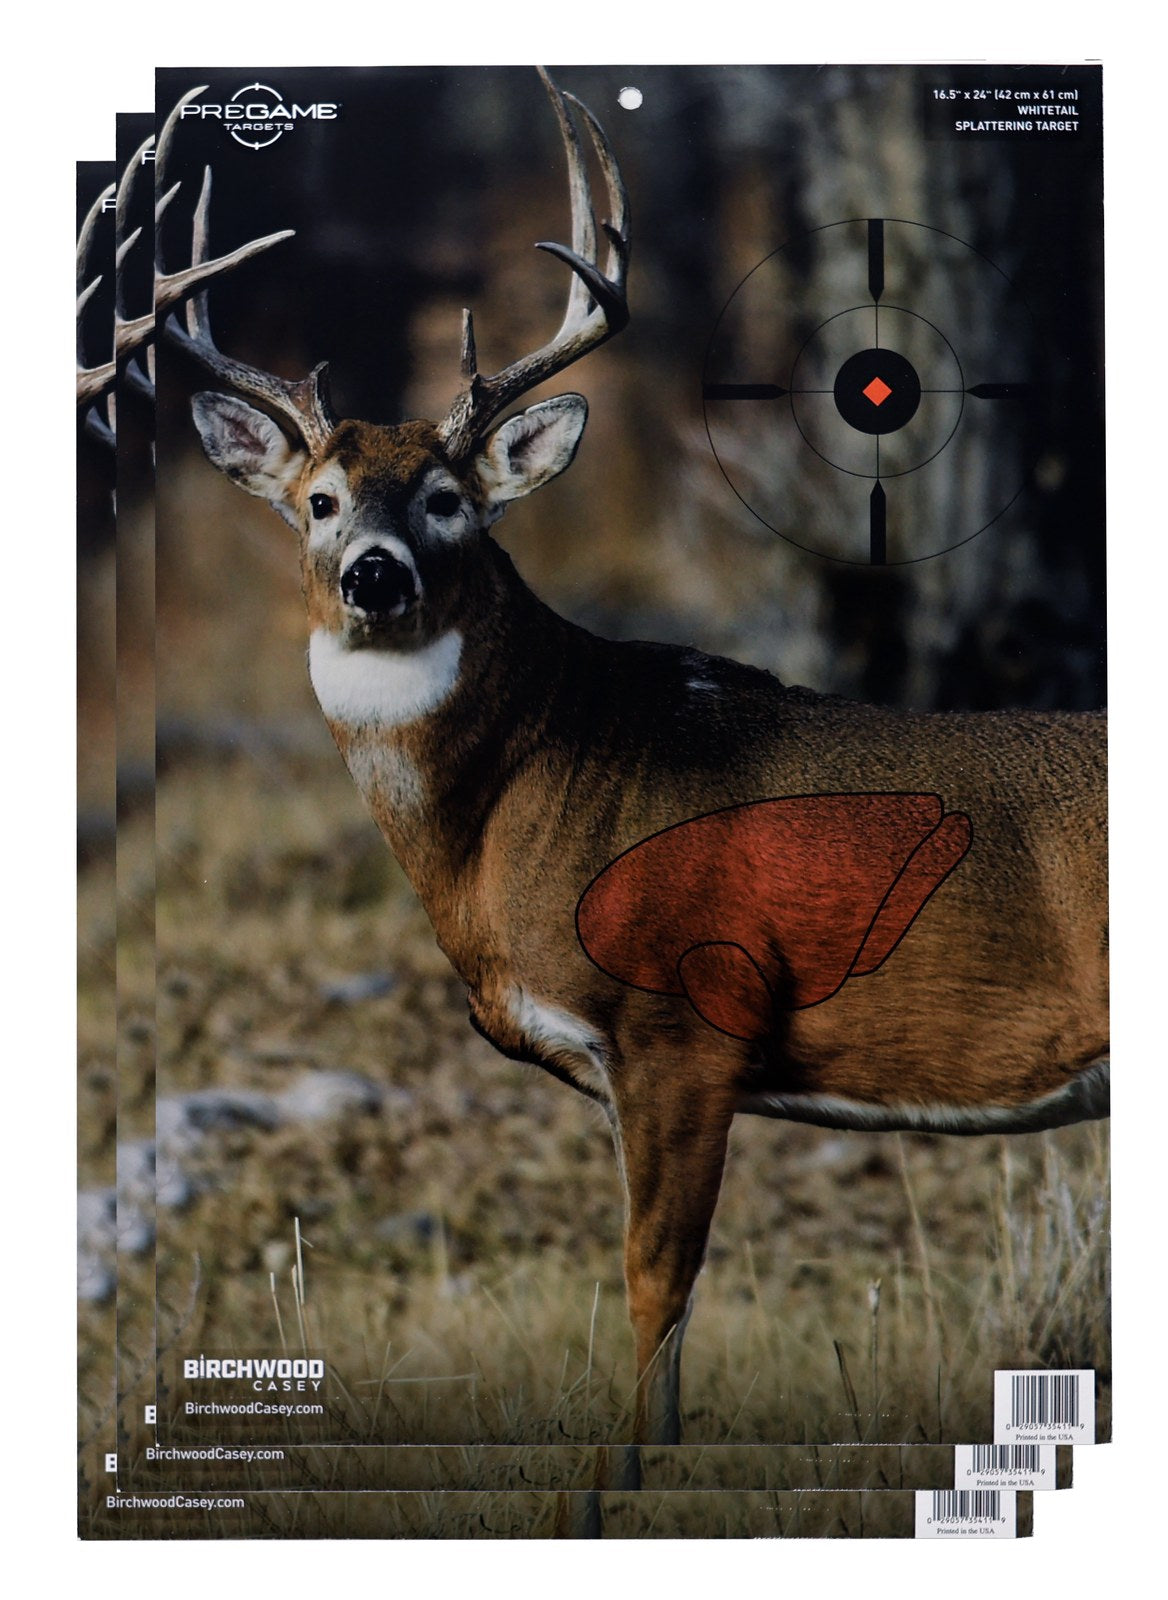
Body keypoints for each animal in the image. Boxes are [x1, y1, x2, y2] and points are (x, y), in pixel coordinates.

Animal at [162, 68, 1109, 1469]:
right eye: (321, 500)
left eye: (447, 497)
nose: (375, 575)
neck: (525, 802)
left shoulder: (680, 1025)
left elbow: (655, 1283)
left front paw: (624, 1476)